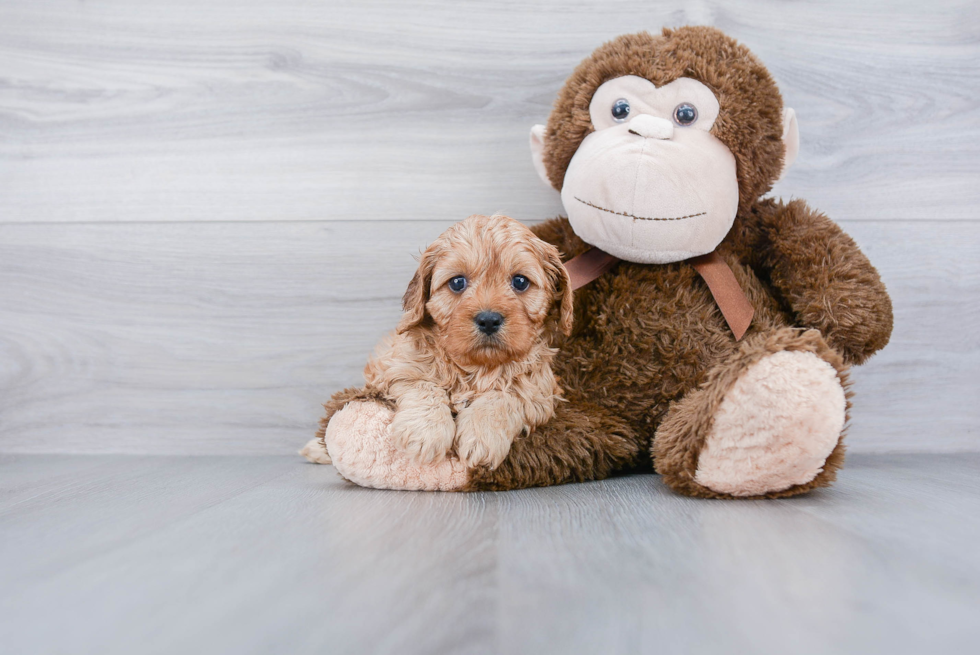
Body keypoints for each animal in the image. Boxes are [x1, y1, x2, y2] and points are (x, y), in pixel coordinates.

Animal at [310, 217, 576, 472]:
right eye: (457, 282)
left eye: (520, 281)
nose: (489, 320)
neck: (476, 367)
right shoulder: (398, 367)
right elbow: (424, 385)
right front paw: (426, 433)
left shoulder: (539, 391)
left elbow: (505, 396)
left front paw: (481, 437)